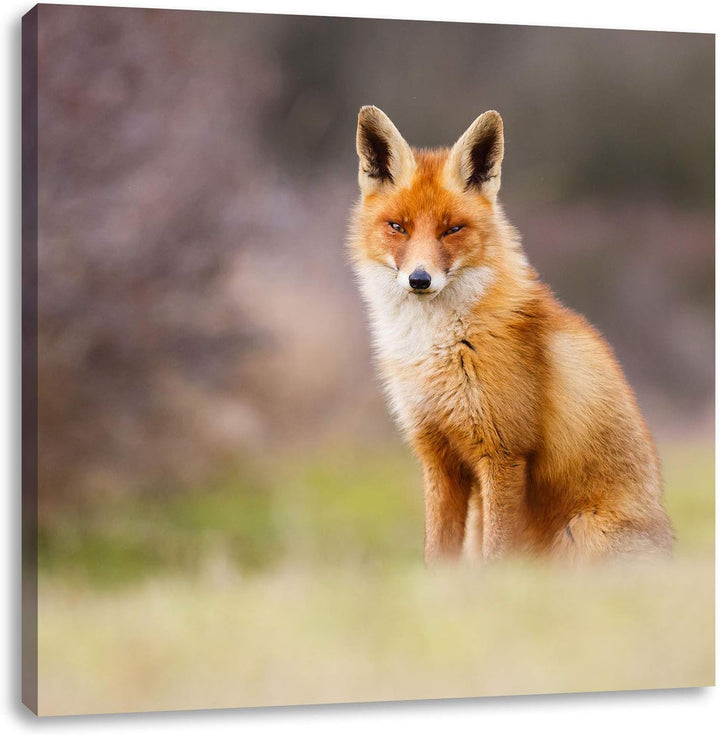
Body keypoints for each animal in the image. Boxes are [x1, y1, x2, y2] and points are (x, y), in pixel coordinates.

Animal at [348, 105, 673, 564]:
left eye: (452, 230)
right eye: (398, 227)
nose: (419, 279)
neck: (439, 349)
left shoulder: (502, 454)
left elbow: (496, 557)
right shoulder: (438, 457)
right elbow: (436, 555)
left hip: (581, 530)